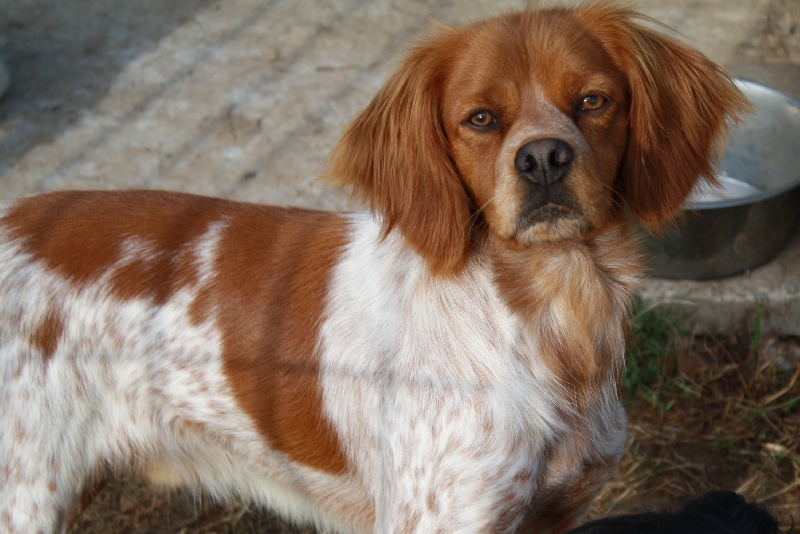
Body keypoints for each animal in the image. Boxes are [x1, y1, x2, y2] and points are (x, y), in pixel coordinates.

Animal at [0, 2, 748, 533]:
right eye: (480, 119)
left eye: (593, 100)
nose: (542, 159)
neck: (547, 315)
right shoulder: (440, 518)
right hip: (24, 495)